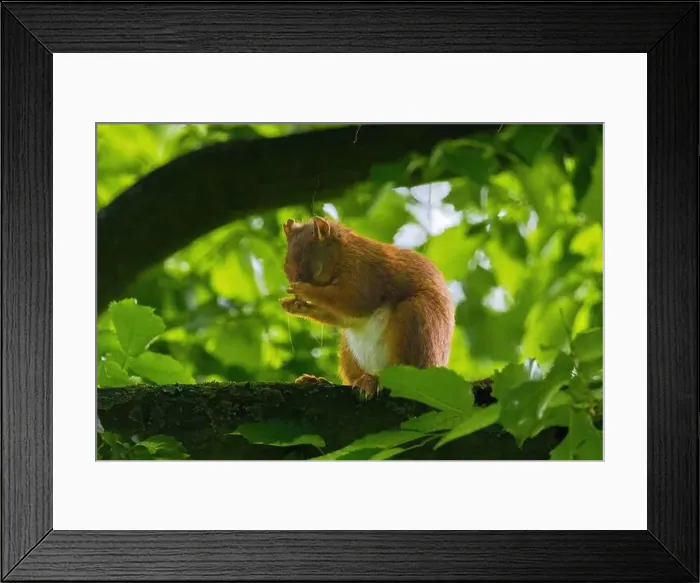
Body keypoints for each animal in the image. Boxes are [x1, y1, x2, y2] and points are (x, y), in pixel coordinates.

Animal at [280, 216, 455, 398]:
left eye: (309, 263)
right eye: (285, 265)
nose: (294, 283)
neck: (344, 253)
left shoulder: (364, 274)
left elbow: (353, 300)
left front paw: (304, 290)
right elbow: (341, 317)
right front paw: (295, 305)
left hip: (416, 322)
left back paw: (373, 382)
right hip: (348, 353)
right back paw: (319, 381)